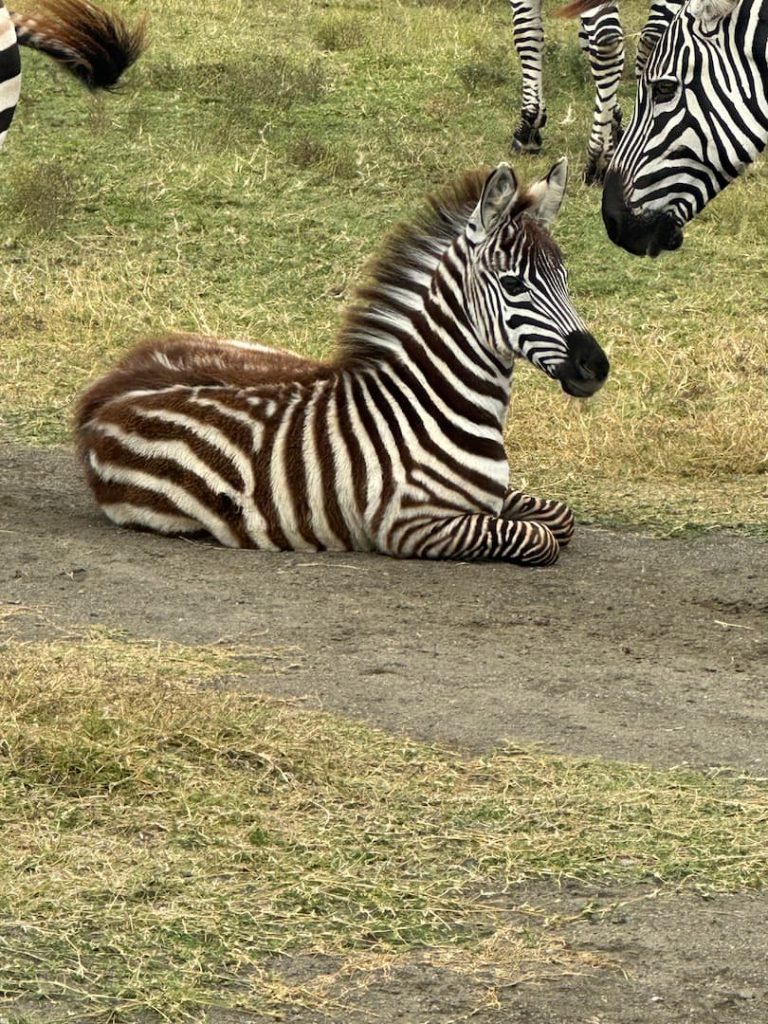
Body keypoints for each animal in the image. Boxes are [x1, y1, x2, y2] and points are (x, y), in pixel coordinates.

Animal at [76, 160, 609, 567]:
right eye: (514, 284)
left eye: (565, 278)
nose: (596, 366)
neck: (435, 401)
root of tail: (106, 391)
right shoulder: (411, 526)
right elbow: (540, 539)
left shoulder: (489, 499)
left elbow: (560, 517)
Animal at [510, 0, 683, 184]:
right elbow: (584, 40)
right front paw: (616, 121)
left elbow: (527, 33)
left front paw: (528, 128)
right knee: (654, 39)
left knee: (607, 45)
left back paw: (599, 158)